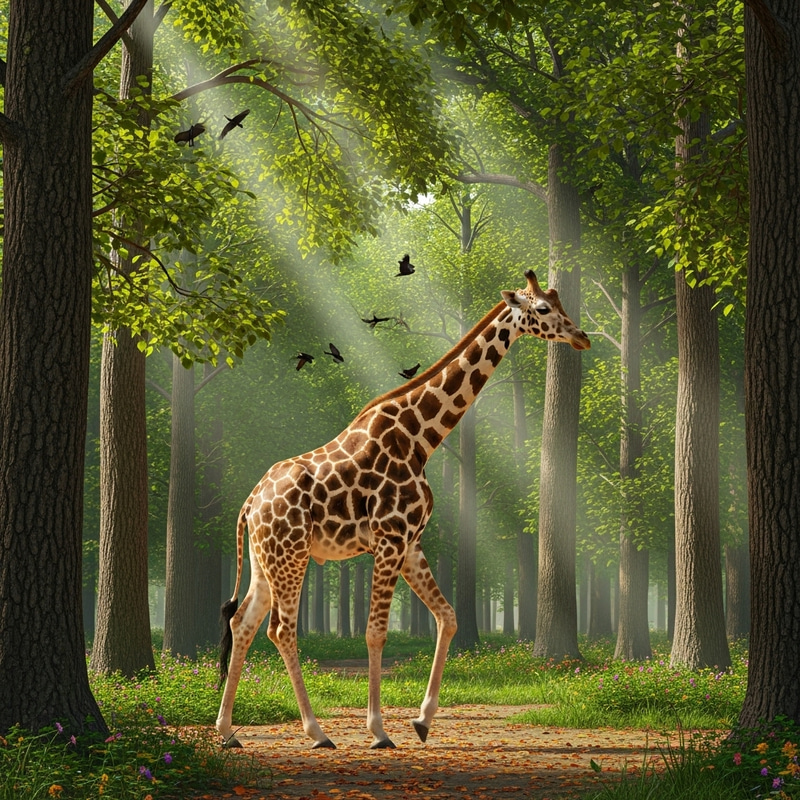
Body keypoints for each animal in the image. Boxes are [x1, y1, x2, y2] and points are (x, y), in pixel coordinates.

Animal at [216, 270, 590, 750]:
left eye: (560, 304)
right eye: (543, 309)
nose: (581, 337)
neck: (420, 438)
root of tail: (250, 503)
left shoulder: (411, 542)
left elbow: (448, 617)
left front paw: (422, 720)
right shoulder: (390, 538)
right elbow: (376, 632)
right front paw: (378, 730)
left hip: (267, 560)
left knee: (242, 624)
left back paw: (227, 731)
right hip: (291, 556)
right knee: (280, 629)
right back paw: (316, 732)